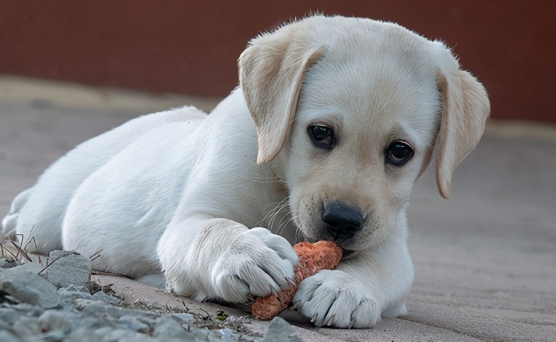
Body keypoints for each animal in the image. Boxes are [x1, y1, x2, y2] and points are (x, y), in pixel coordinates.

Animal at [1, 16, 486, 328]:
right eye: (320, 133)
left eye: (400, 152)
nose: (342, 222)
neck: (280, 182)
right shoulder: (188, 221)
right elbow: (212, 229)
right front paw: (246, 253)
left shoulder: (389, 239)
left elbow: (383, 268)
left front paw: (344, 288)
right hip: (51, 211)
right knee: (30, 207)